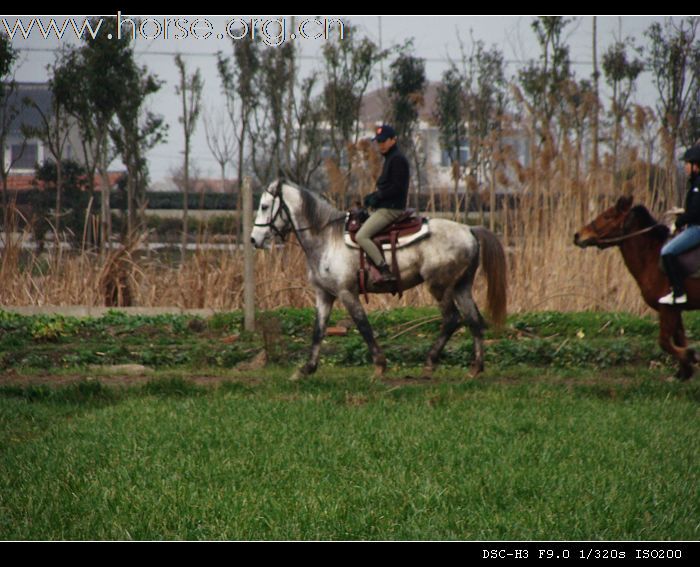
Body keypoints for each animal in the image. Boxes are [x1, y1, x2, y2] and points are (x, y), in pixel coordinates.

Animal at [576, 196, 700, 382]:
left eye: (607, 216)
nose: (577, 235)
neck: (652, 257)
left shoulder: (667, 308)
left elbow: (664, 341)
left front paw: (690, 356)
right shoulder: (675, 309)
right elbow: (679, 338)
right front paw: (685, 370)